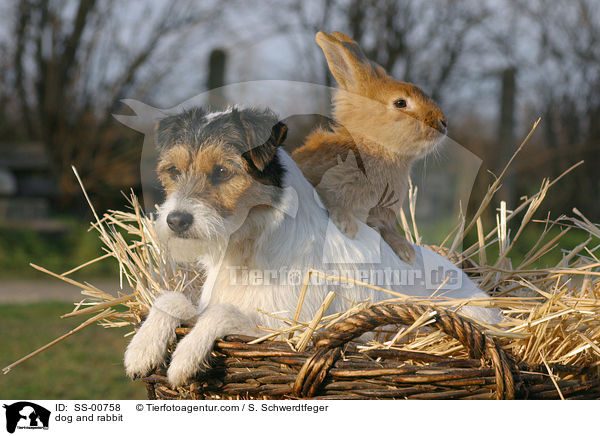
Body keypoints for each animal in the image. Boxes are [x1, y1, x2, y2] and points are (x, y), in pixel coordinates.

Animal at [124, 107, 500, 386]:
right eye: (173, 171)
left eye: (221, 172)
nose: (176, 221)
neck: (252, 244)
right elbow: (172, 298)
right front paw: (141, 349)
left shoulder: (288, 332)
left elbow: (223, 313)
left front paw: (185, 356)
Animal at [292, 31, 448, 266]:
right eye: (401, 103)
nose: (443, 123)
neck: (375, 145)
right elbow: (330, 201)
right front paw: (347, 226)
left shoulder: (382, 215)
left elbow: (387, 230)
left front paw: (406, 251)